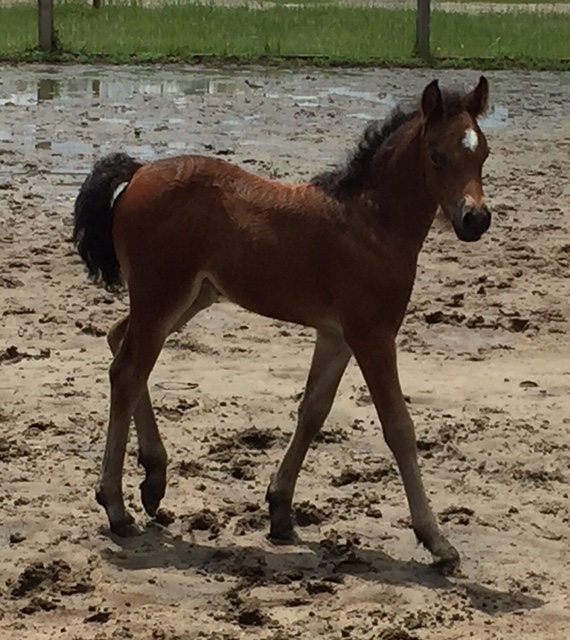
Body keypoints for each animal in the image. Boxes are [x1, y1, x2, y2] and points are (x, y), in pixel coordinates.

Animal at [73, 76, 491, 574]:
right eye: (436, 154)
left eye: (483, 152)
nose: (475, 219)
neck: (372, 224)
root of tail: (138, 172)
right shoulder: (373, 334)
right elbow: (399, 427)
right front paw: (436, 539)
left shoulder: (336, 335)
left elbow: (312, 410)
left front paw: (280, 510)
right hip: (163, 297)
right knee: (127, 372)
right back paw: (117, 507)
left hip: (189, 298)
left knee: (120, 342)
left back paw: (154, 479)